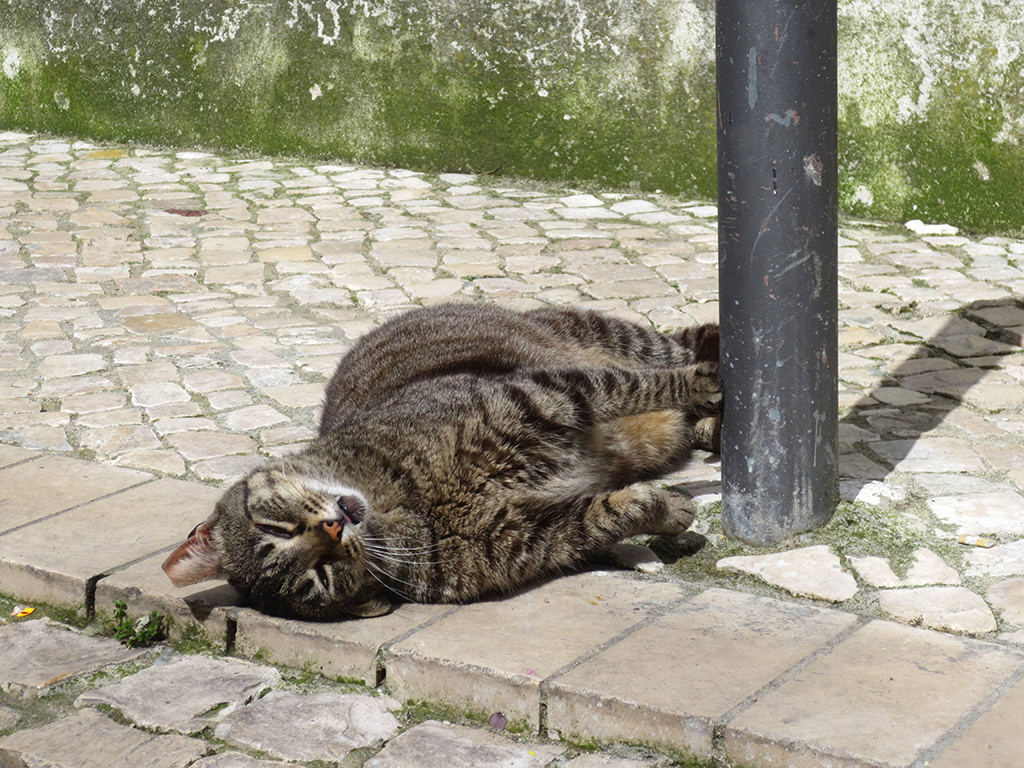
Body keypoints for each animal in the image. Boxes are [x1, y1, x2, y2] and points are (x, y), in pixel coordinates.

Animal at [163, 303, 720, 622]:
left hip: (610, 337)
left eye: (274, 528)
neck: (407, 504)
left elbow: (633, 388)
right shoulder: (530, 535)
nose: (334, 529)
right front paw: (669, 511)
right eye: (317, 579)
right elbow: (610, 512)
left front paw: (703, 383)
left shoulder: (537, 398)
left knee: (676, 350)